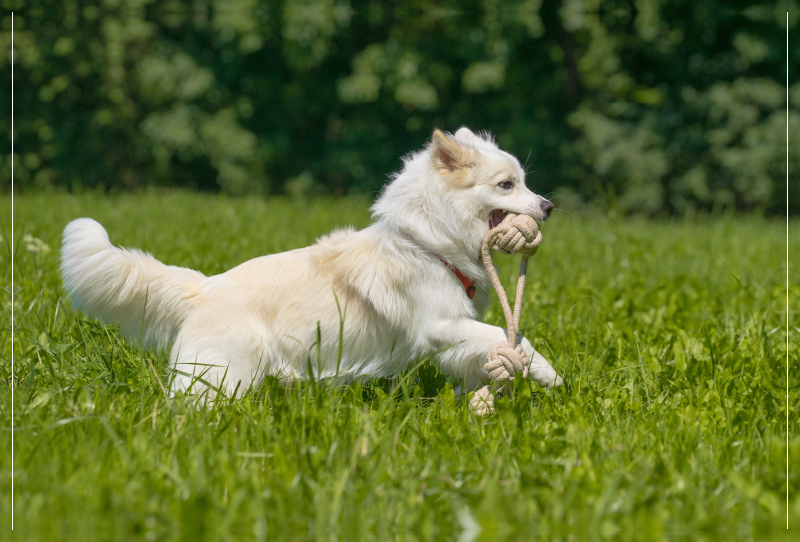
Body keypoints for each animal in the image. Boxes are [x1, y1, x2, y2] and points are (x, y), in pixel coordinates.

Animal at [61, 129, 564, 400]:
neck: (427, 243)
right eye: (506, 185)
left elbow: (494, 345)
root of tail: (205, 288)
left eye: (524, 182)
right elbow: (507, 336)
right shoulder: (440, 324)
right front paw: (548, 374)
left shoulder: (452, 335)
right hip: (218, 382)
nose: (549, 206)